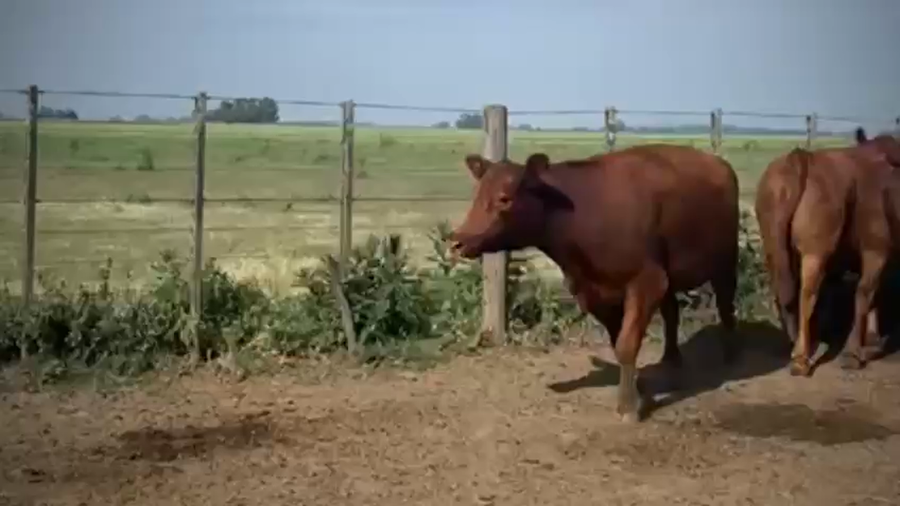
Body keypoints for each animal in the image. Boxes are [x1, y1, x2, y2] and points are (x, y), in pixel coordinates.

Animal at [449, 144, 741, 423]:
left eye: (504, 198)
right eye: (477, 195)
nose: (456, 241)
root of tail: (718, 162)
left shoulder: (646, 280)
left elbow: (627, 343)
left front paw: (627, 407)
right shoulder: (594, 292)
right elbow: (618, 343)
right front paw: (638, 392)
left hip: (724, 261)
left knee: (726, 305)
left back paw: (730, 355)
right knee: (672, 312)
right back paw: (671, 361)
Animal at [754, 129, 900, 378]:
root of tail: (801, 158)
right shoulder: (877, 249)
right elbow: (865, 293)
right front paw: (854, 353)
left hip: (774, 244)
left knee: (785, 291)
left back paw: (797, 345)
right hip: (815, 251)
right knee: (807, 293)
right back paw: (801, 358)